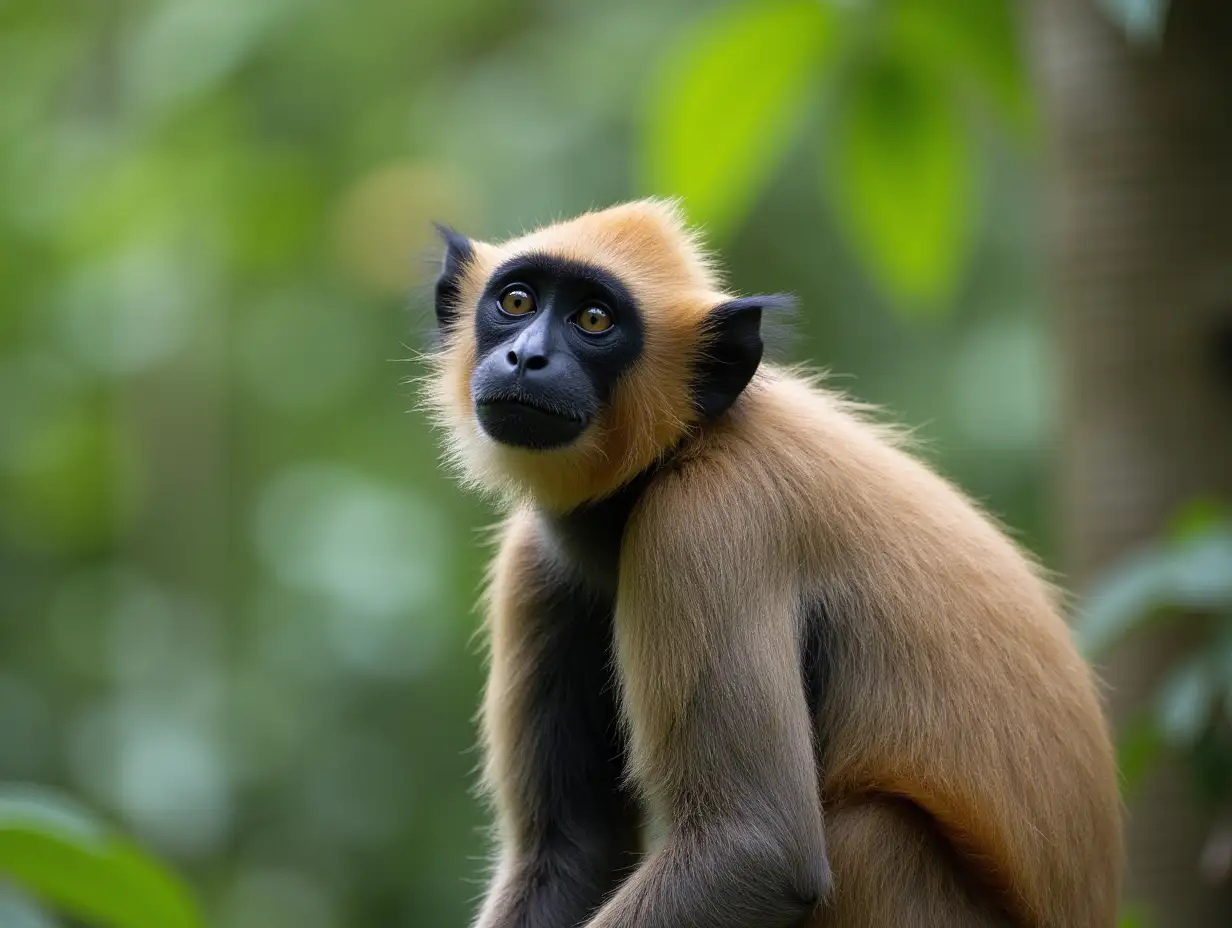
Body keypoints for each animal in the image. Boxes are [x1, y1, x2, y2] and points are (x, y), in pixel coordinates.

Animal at [426, 199, 1128, 921]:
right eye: (516, 301)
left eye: (594, 320)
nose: (526, 357)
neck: (683, 449)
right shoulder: (539, 559)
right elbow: (572, 848)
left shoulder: (708, 518)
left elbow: (756, 846)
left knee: (867, 834)